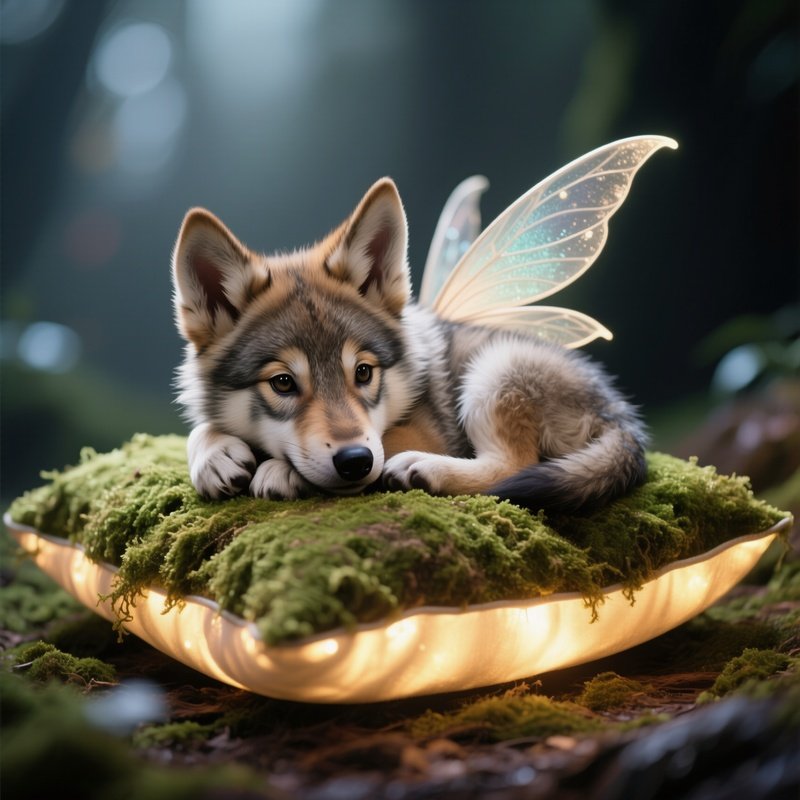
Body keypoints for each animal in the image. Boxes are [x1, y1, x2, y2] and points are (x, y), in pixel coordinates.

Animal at [172, 178, 647, 512]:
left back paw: (423, 470)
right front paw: (214, 455)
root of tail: (622, 417)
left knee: (514, 465)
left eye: (363, 372)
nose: (355, 460)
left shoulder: (415, 434)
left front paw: (277, 471)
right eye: (283, 383)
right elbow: (198, 429)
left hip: (496, 371)